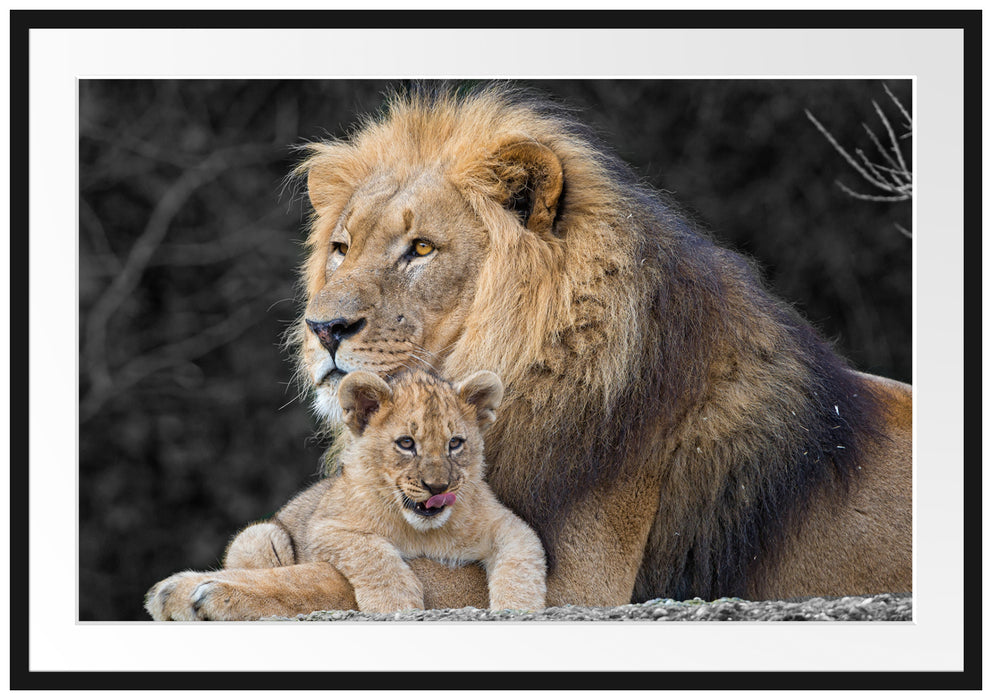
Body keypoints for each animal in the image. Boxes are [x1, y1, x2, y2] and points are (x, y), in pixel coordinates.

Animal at [145, 368, 546, 619]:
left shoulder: (508, 527)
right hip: (260, 536)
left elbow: (522, 564)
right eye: (406, 444)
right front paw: (394, 602)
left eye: (455, 443)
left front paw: (518, 608)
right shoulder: (327, 527)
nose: (438, 488)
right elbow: (373, 552)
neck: (425, 531)